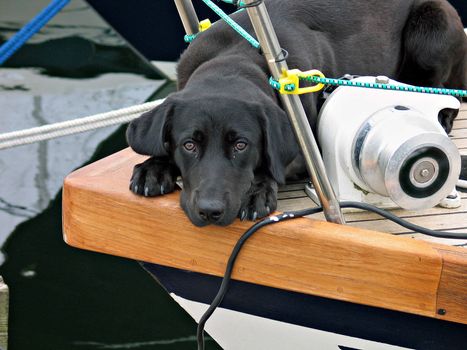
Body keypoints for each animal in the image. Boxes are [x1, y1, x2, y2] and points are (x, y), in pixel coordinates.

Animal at [126, 0, 466, 226]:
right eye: (189, 145)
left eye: (241, 145)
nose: (210, 211)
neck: (233, 58)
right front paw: (153, 167)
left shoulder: (306, 150)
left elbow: (272, 164)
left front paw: (257, 192)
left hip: (433, 28)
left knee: (443, 88)